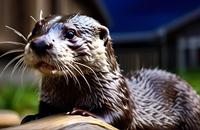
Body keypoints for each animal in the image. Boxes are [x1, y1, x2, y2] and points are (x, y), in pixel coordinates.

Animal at [19, 14, 200, 130]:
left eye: (71, 33)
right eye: (35, 30)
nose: (40, 43)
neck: (72, 94)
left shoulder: (117, 94)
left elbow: (120, 117)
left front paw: (83, 111)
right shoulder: (48, 98)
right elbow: (45, 110)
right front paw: (33, 116)